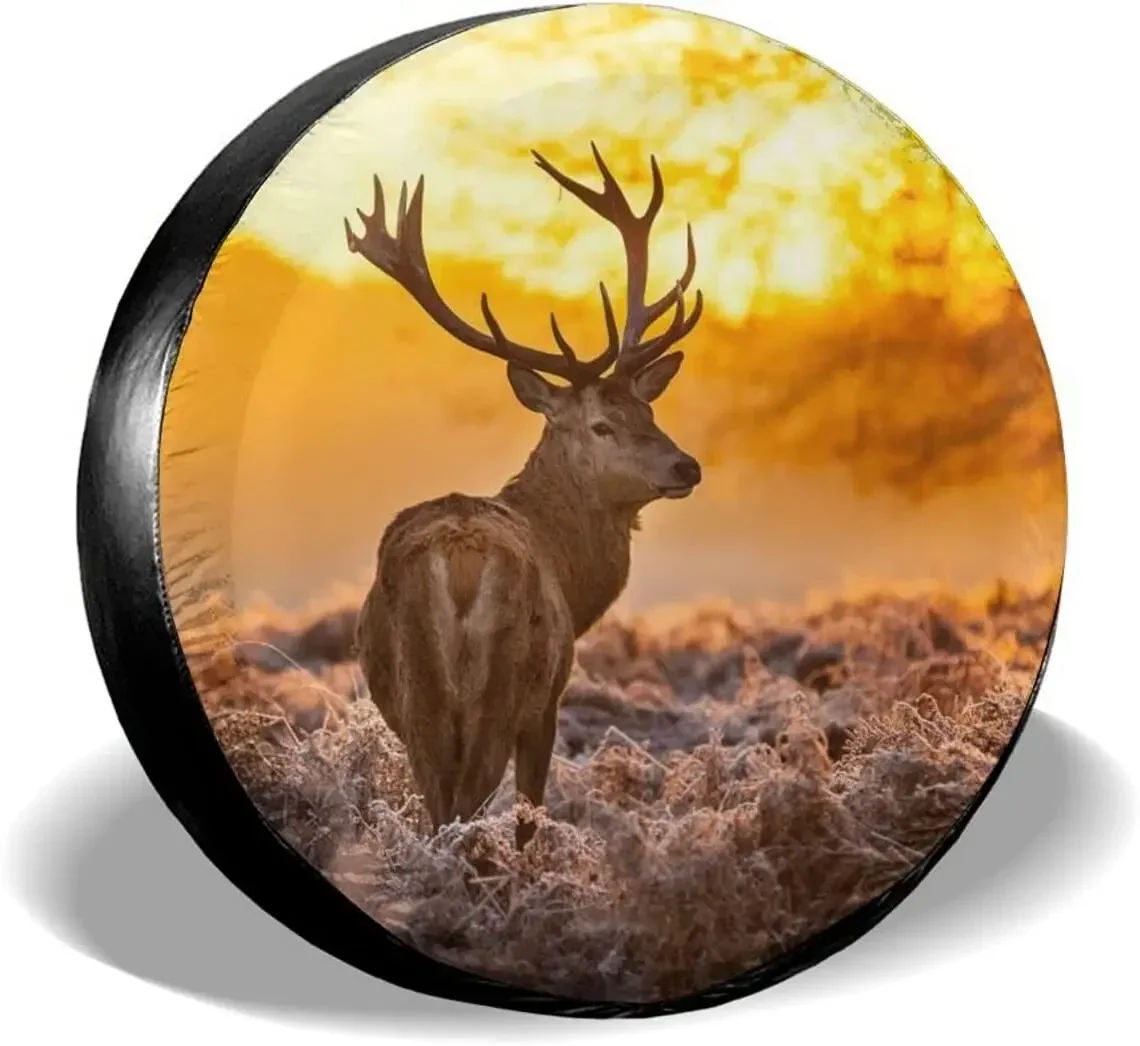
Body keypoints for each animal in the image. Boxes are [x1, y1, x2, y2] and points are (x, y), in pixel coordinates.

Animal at [345, 143, 704, 848]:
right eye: (602, 424)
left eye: (649, 411)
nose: (687, 466)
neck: (572, 574)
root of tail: (458, 563)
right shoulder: (550, 700)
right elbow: (529, 815)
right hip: (502, 688)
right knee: (465, 812)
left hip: (418, 697)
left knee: (440, 810)